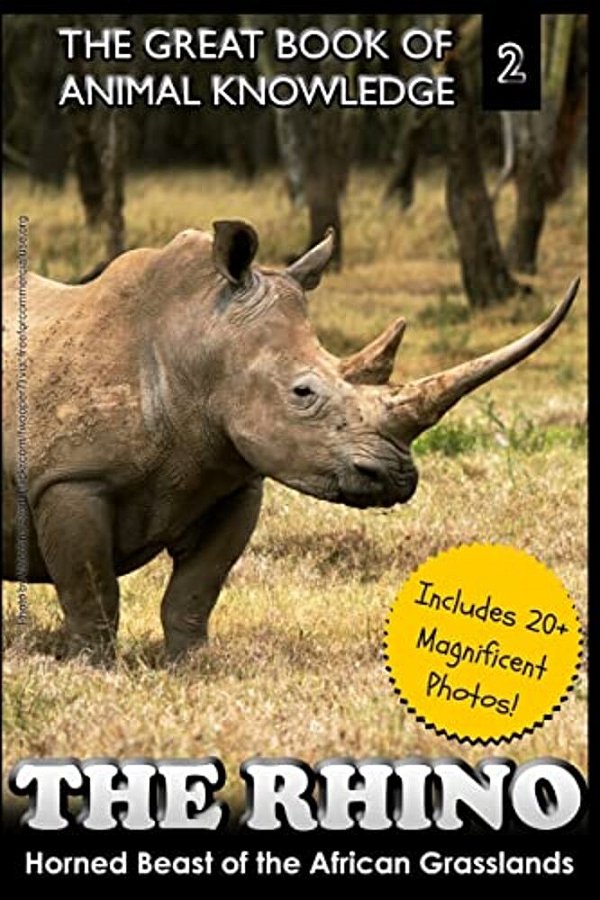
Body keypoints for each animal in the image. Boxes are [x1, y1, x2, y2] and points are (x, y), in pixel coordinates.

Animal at [2, 221, 579, 662]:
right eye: (303, 392)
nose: (396, 478)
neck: (198, 343)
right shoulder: (71, 478)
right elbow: (92, 591)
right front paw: (93, 667)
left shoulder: (234, 480)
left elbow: (195, 590)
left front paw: (191, 665)